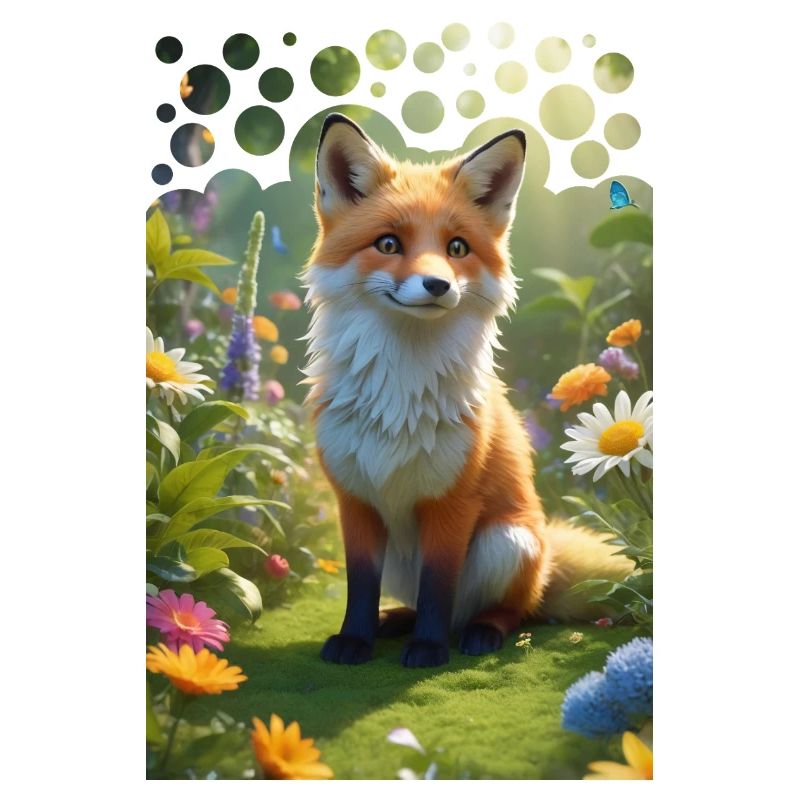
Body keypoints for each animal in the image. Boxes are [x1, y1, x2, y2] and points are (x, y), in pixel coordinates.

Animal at [301, 113, 632, 668]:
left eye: (456, 248)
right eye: (388, 244)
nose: (438, 285)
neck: (400, 393)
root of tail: (547, 556)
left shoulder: (453, 503)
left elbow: (439, 585)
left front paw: (429, 650)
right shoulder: (356, 500)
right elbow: (361, 586)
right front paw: (355, 640)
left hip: (506, 541)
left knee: (507, 610)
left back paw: (479, 632)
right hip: (406, 557)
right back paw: (397, 621)